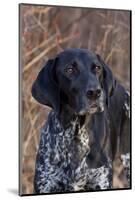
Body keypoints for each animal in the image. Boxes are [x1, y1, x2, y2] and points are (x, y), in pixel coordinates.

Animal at [31, 48, 130, 194]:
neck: (75, 134)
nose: (95, 92)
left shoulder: (101, 182)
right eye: (70, 69)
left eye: (97, 68)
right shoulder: (45, 185)